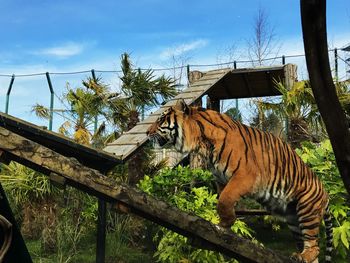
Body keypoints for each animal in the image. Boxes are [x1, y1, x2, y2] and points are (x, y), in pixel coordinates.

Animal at [147, 99, 334, 263]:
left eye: (161, 119)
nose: (147, 132)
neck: (202, 142)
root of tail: (326, 196)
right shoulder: (221, 180)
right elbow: (223, 200)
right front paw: (225, 224)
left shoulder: (245, 176)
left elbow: (224, 200)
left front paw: (225, 223)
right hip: (293, 218)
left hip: (306, 210)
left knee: (315, 246)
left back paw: (303, 256)